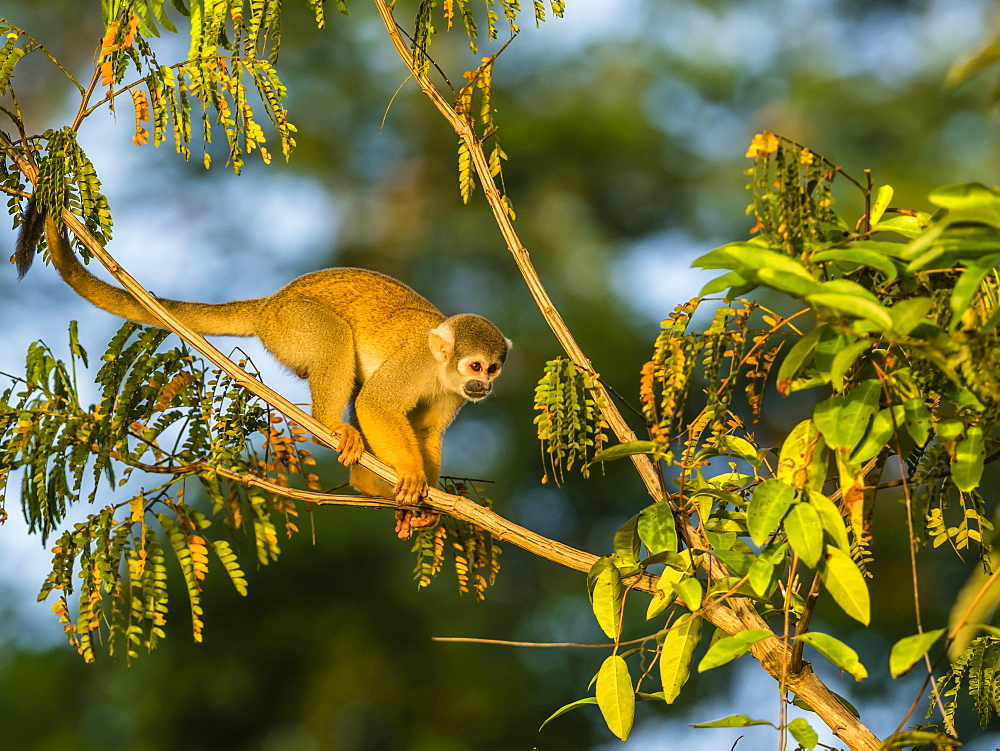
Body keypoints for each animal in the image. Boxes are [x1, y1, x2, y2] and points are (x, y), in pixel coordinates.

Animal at [17, 207, 508, 536]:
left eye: (493, 369)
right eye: (475, 365)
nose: (482, 385)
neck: (442, 372)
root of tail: (271, 303)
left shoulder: (453, 394)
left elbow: (425, 431)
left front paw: (423, 501)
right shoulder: (416, 363)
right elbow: (378, 403)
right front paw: (408, 474)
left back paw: (368, 481)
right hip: (293, 324)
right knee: (334, 338)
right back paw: (334, 430)